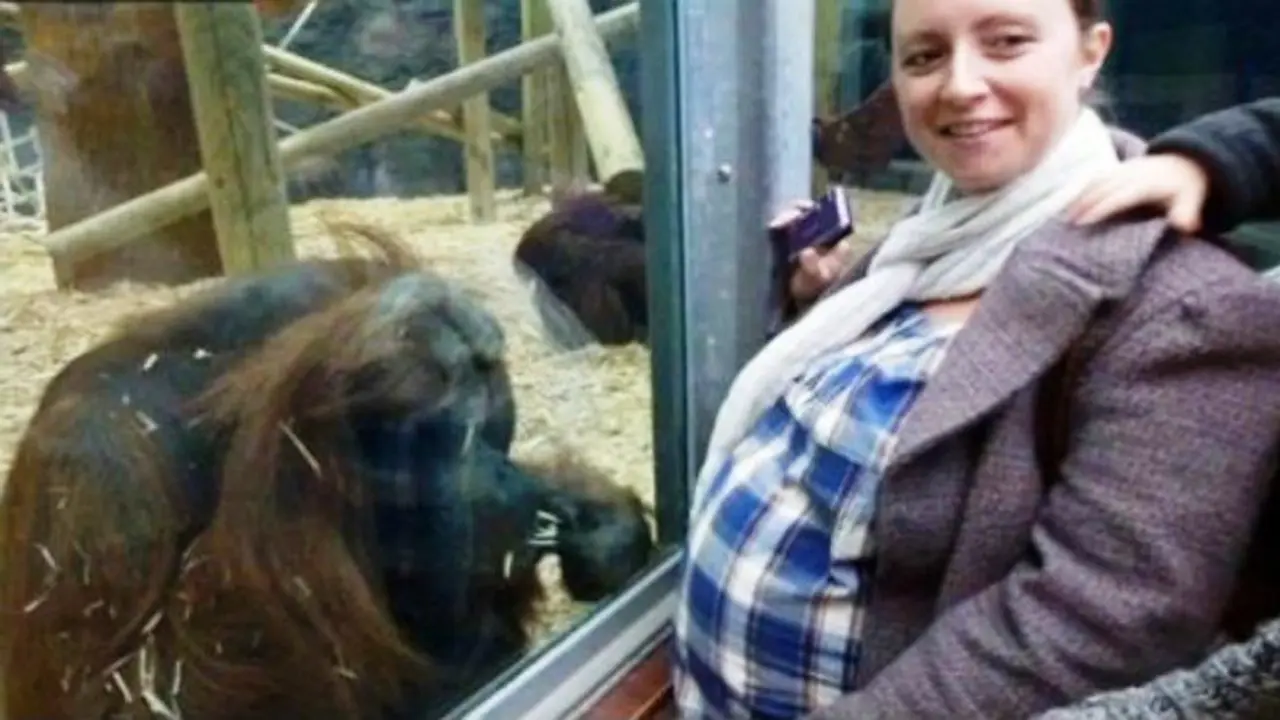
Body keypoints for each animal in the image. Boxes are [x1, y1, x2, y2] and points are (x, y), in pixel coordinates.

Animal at [0, 222, 655, 720]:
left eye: (496, 436)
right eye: (461, 445)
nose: (502, 479)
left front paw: (599, 522)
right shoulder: (100, 467)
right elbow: (123, 690)